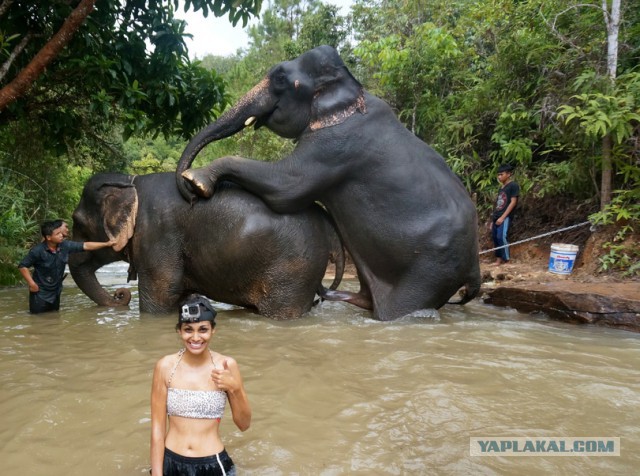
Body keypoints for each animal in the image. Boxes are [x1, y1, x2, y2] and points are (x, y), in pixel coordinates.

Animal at [67, 169, 342, 318]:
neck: (130, 181)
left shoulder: (158, 234)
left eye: (77, 222)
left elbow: (161, 294)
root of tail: (328, 223)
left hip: (294, 270)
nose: (121, 296)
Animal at [175, 46, 480, 322]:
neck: (349, 83)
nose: (187, 194)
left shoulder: (336, 142)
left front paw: (196, 180)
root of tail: (475, 267)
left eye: (280, 78)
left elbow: (287, 187)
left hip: (432, 267)